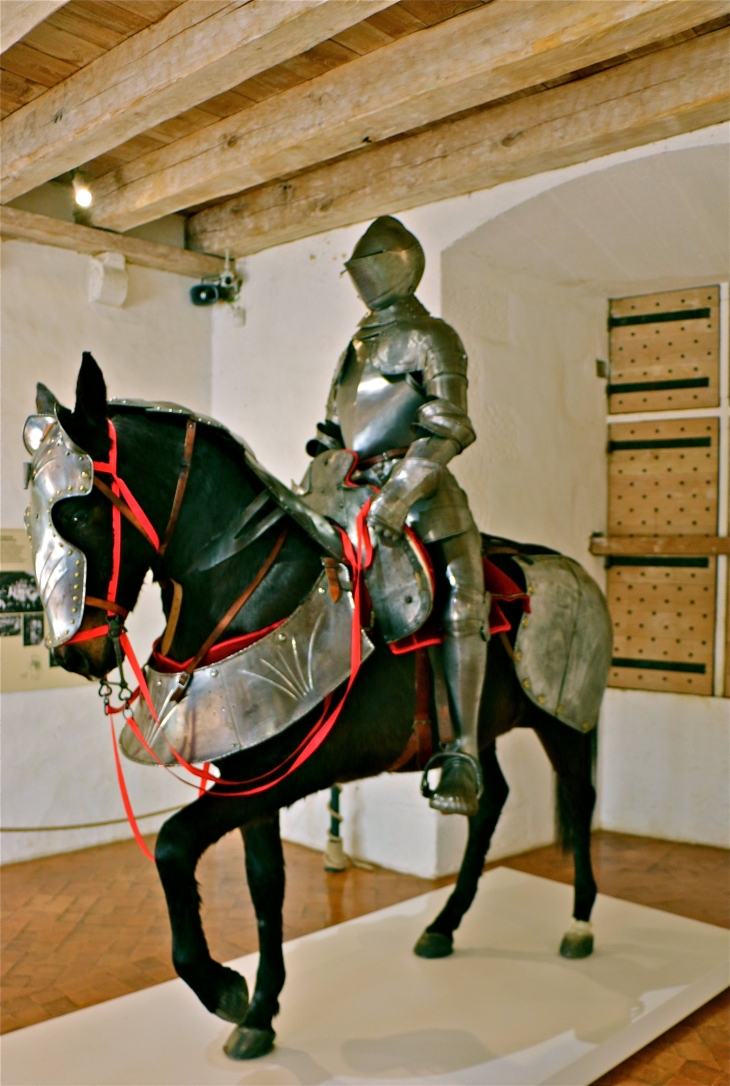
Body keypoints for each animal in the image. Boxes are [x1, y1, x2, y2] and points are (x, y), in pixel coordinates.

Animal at [38, 356, 599, 1059]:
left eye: (79, 516)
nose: (74, 654)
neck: (248, 590)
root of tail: (574, 566)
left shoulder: (275, 777)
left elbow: (171, 846)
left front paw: (222, 989)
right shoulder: (248, 776)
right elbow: (265, 888)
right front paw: (260, 1013)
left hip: (564, 719)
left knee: (579, 798)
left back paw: (580, 923)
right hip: (478, 733)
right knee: (488, 796)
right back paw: (444, 923)